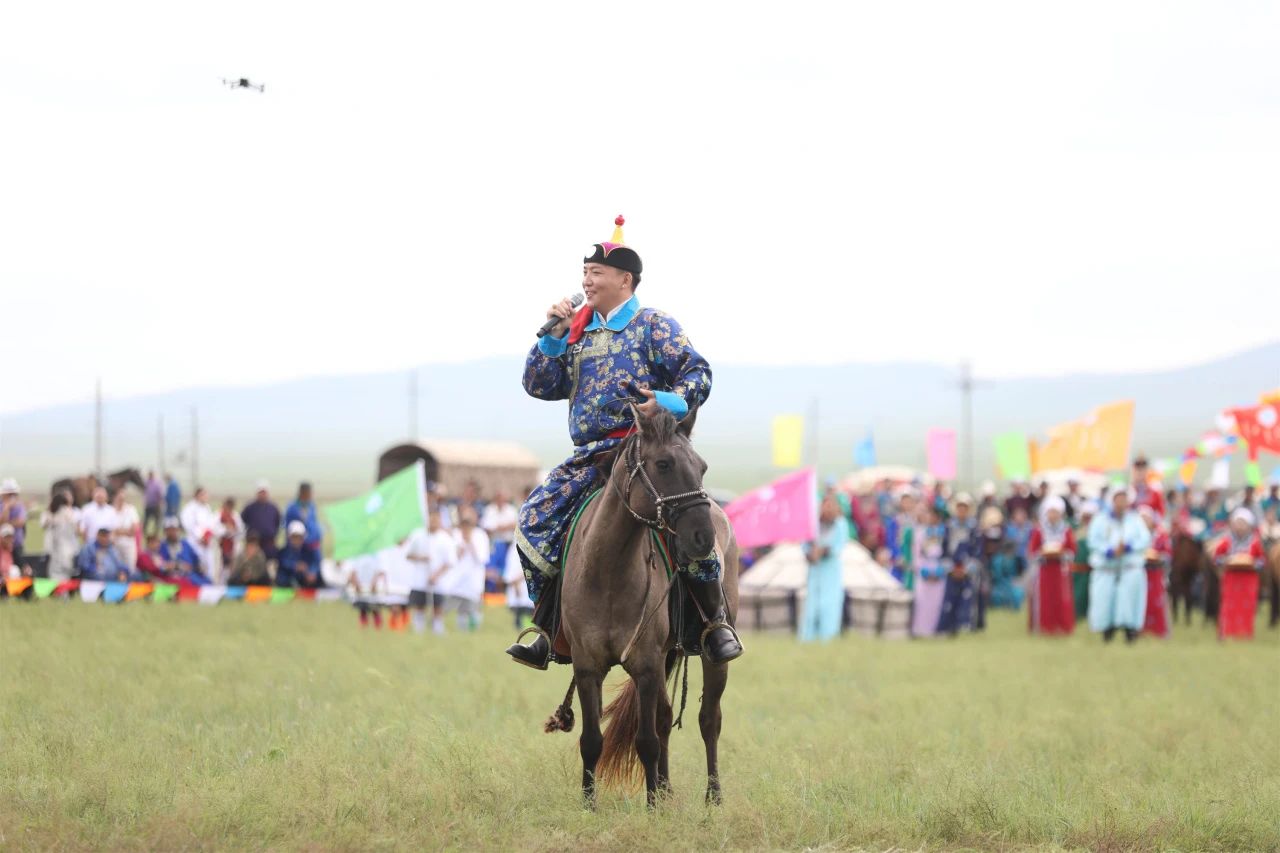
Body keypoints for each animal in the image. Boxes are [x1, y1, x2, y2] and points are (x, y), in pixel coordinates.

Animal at [547, 407, 739, 809]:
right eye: (663, 464)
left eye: (702, 467)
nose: (702, 538)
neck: (608, 570)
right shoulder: (587, 666)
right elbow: (592, 740)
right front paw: (589, 806)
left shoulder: (646, 664)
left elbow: (647, 740)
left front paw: (652, 810)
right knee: (666, 718)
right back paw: (665, 790)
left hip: (710, 656)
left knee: (708, 719)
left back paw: (712, 797)